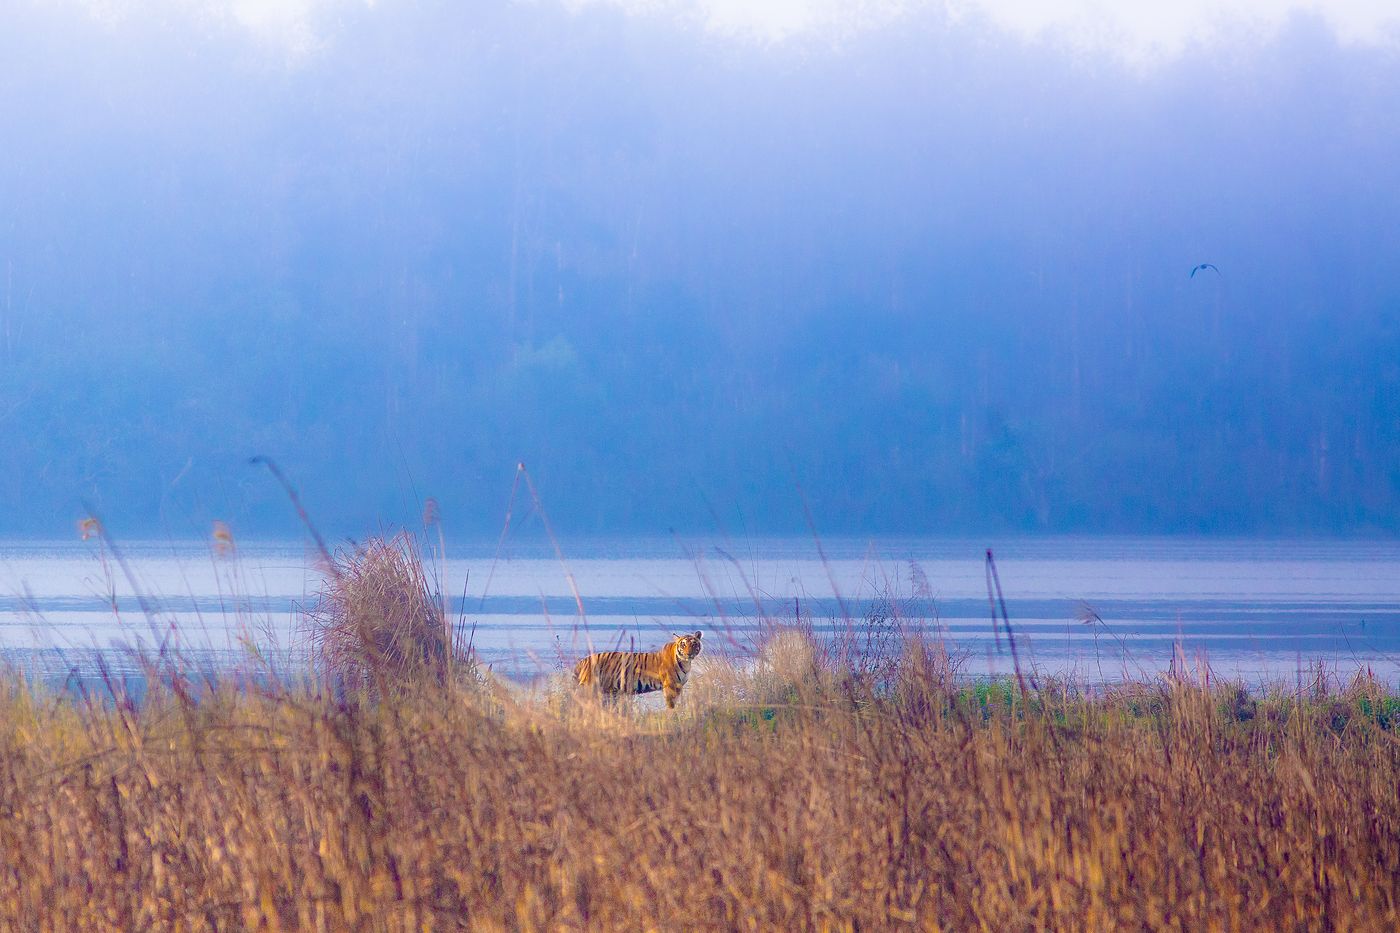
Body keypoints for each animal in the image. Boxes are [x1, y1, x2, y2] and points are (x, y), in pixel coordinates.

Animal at [572, 631, 703, 709]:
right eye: (683, 644)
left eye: (694, 644)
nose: (689, 653)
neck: (686, 663)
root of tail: (583, 661)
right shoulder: (670, 686)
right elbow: (671, 705)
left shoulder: (678, 686)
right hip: (589, 688)